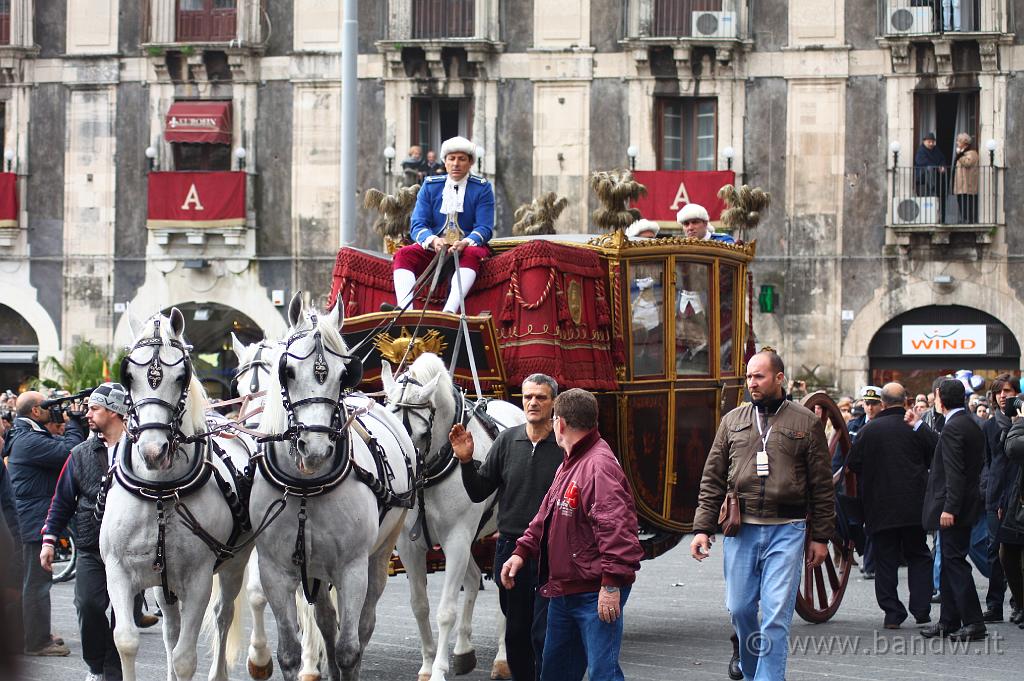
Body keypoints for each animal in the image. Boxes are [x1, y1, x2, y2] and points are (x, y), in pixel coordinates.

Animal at [100, 309, 256, 679]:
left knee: (223, 614)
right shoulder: (118, 570)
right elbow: (126, 640)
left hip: (235, 562)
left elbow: (186, 657)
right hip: (163, 580)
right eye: (129, 376)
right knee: (171, 629)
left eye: (182, 375)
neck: (159, 491)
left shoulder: (198, 579)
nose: (153, 451)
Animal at [249, 292, 417, 679]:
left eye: (345, 373)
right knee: (326, 620)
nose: (315, 448)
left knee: (364, 625)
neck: (306, 486)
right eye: (287, 371)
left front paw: (345, 663)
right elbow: (290, 652)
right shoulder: (275, 570)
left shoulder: (351, 569)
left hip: (380, 553)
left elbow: (348, 649)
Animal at [385, 352, 528, 679]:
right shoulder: (409, 546)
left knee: (507, 586)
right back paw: (463, 649)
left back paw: (503, 658)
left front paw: (438, 669)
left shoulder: (457, 539)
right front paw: (427, 665)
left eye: (422, 432)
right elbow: (420, 605)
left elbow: (446, 610)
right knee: (474, 579)